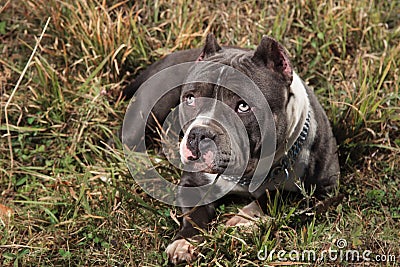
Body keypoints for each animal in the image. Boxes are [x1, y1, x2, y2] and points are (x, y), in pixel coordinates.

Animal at [122, 34, 340, 264]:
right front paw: (184, 242)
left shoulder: (323, 189)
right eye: (190, 98)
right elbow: (194, 214)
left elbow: (275, 195)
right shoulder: (192, 183)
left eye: (243, 106)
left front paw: (242, 220)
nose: (199, 134)